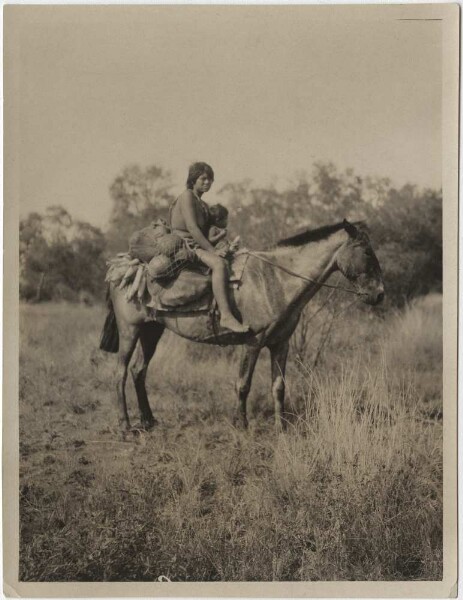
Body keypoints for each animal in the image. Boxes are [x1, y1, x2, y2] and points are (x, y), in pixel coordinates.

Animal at [100, 219, 384, 432]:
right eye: (367, 251)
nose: (380, 294)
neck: (274, 278)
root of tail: (123, 268)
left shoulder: (281, 344)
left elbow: (278, 387)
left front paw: (281, 429)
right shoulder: (253, 343)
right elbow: (243, 384)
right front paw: (242, 425)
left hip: (152, 330)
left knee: (138, 371)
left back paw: (149, 421)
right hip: (130, 330)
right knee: (120, 373)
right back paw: (126, 426)